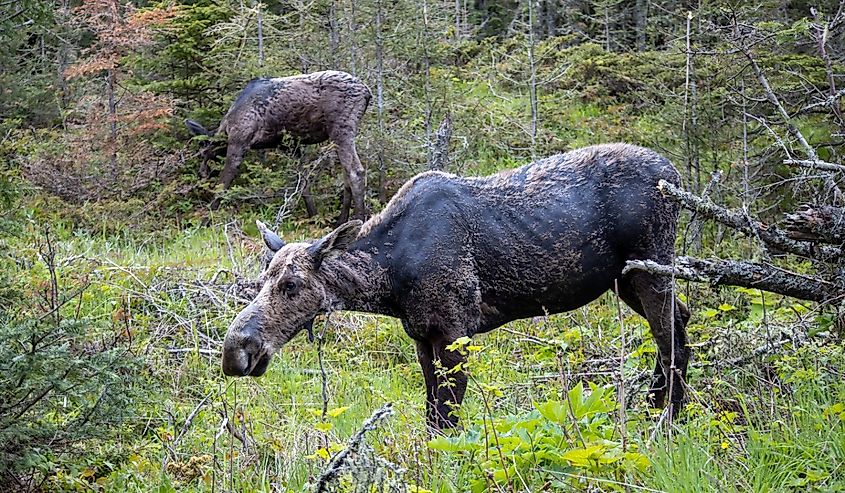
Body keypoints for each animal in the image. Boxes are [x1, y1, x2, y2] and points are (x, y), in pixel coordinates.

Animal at [186, 69, 370, 219]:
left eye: (204, 152)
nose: (201, 173)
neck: (226, 127)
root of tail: (367, 93)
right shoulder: (290, 146)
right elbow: (303, 182)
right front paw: (313, 216)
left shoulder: (239, 141)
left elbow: (223, 184)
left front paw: (206, 220)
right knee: (346, 174)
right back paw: (341, 220)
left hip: (341, 129)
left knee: (356, 172)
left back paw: (358, 220)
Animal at [221, 141, 688, 426]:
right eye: (262, 279)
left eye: (292, 286)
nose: (235, 352)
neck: (389, 280)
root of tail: (676, 174)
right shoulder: (422, 336)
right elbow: (432, 416)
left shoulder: (454, 331)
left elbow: (447, 419)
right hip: (625, 280)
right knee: (681, 320)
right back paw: (657, 409)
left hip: (651, 268)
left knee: (671, 339)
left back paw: (667, 419)